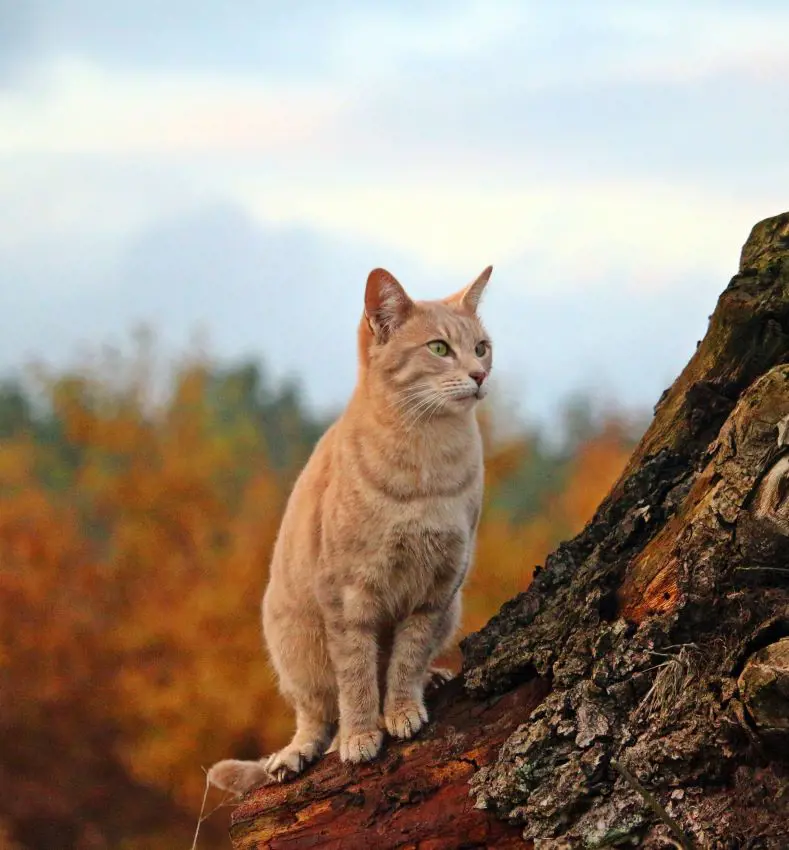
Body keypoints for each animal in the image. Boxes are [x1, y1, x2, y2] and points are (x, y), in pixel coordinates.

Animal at [209, 264, 492, 788]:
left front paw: (401, 709)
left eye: (482, 347)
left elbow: (406, 659)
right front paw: (361, 736)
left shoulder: (437, 589)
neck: (425, 465)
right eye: (440, 349)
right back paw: (301, 751)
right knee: (317, 715)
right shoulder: (347, 595)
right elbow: (357, 677)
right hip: (294, 644)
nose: (480, 375)